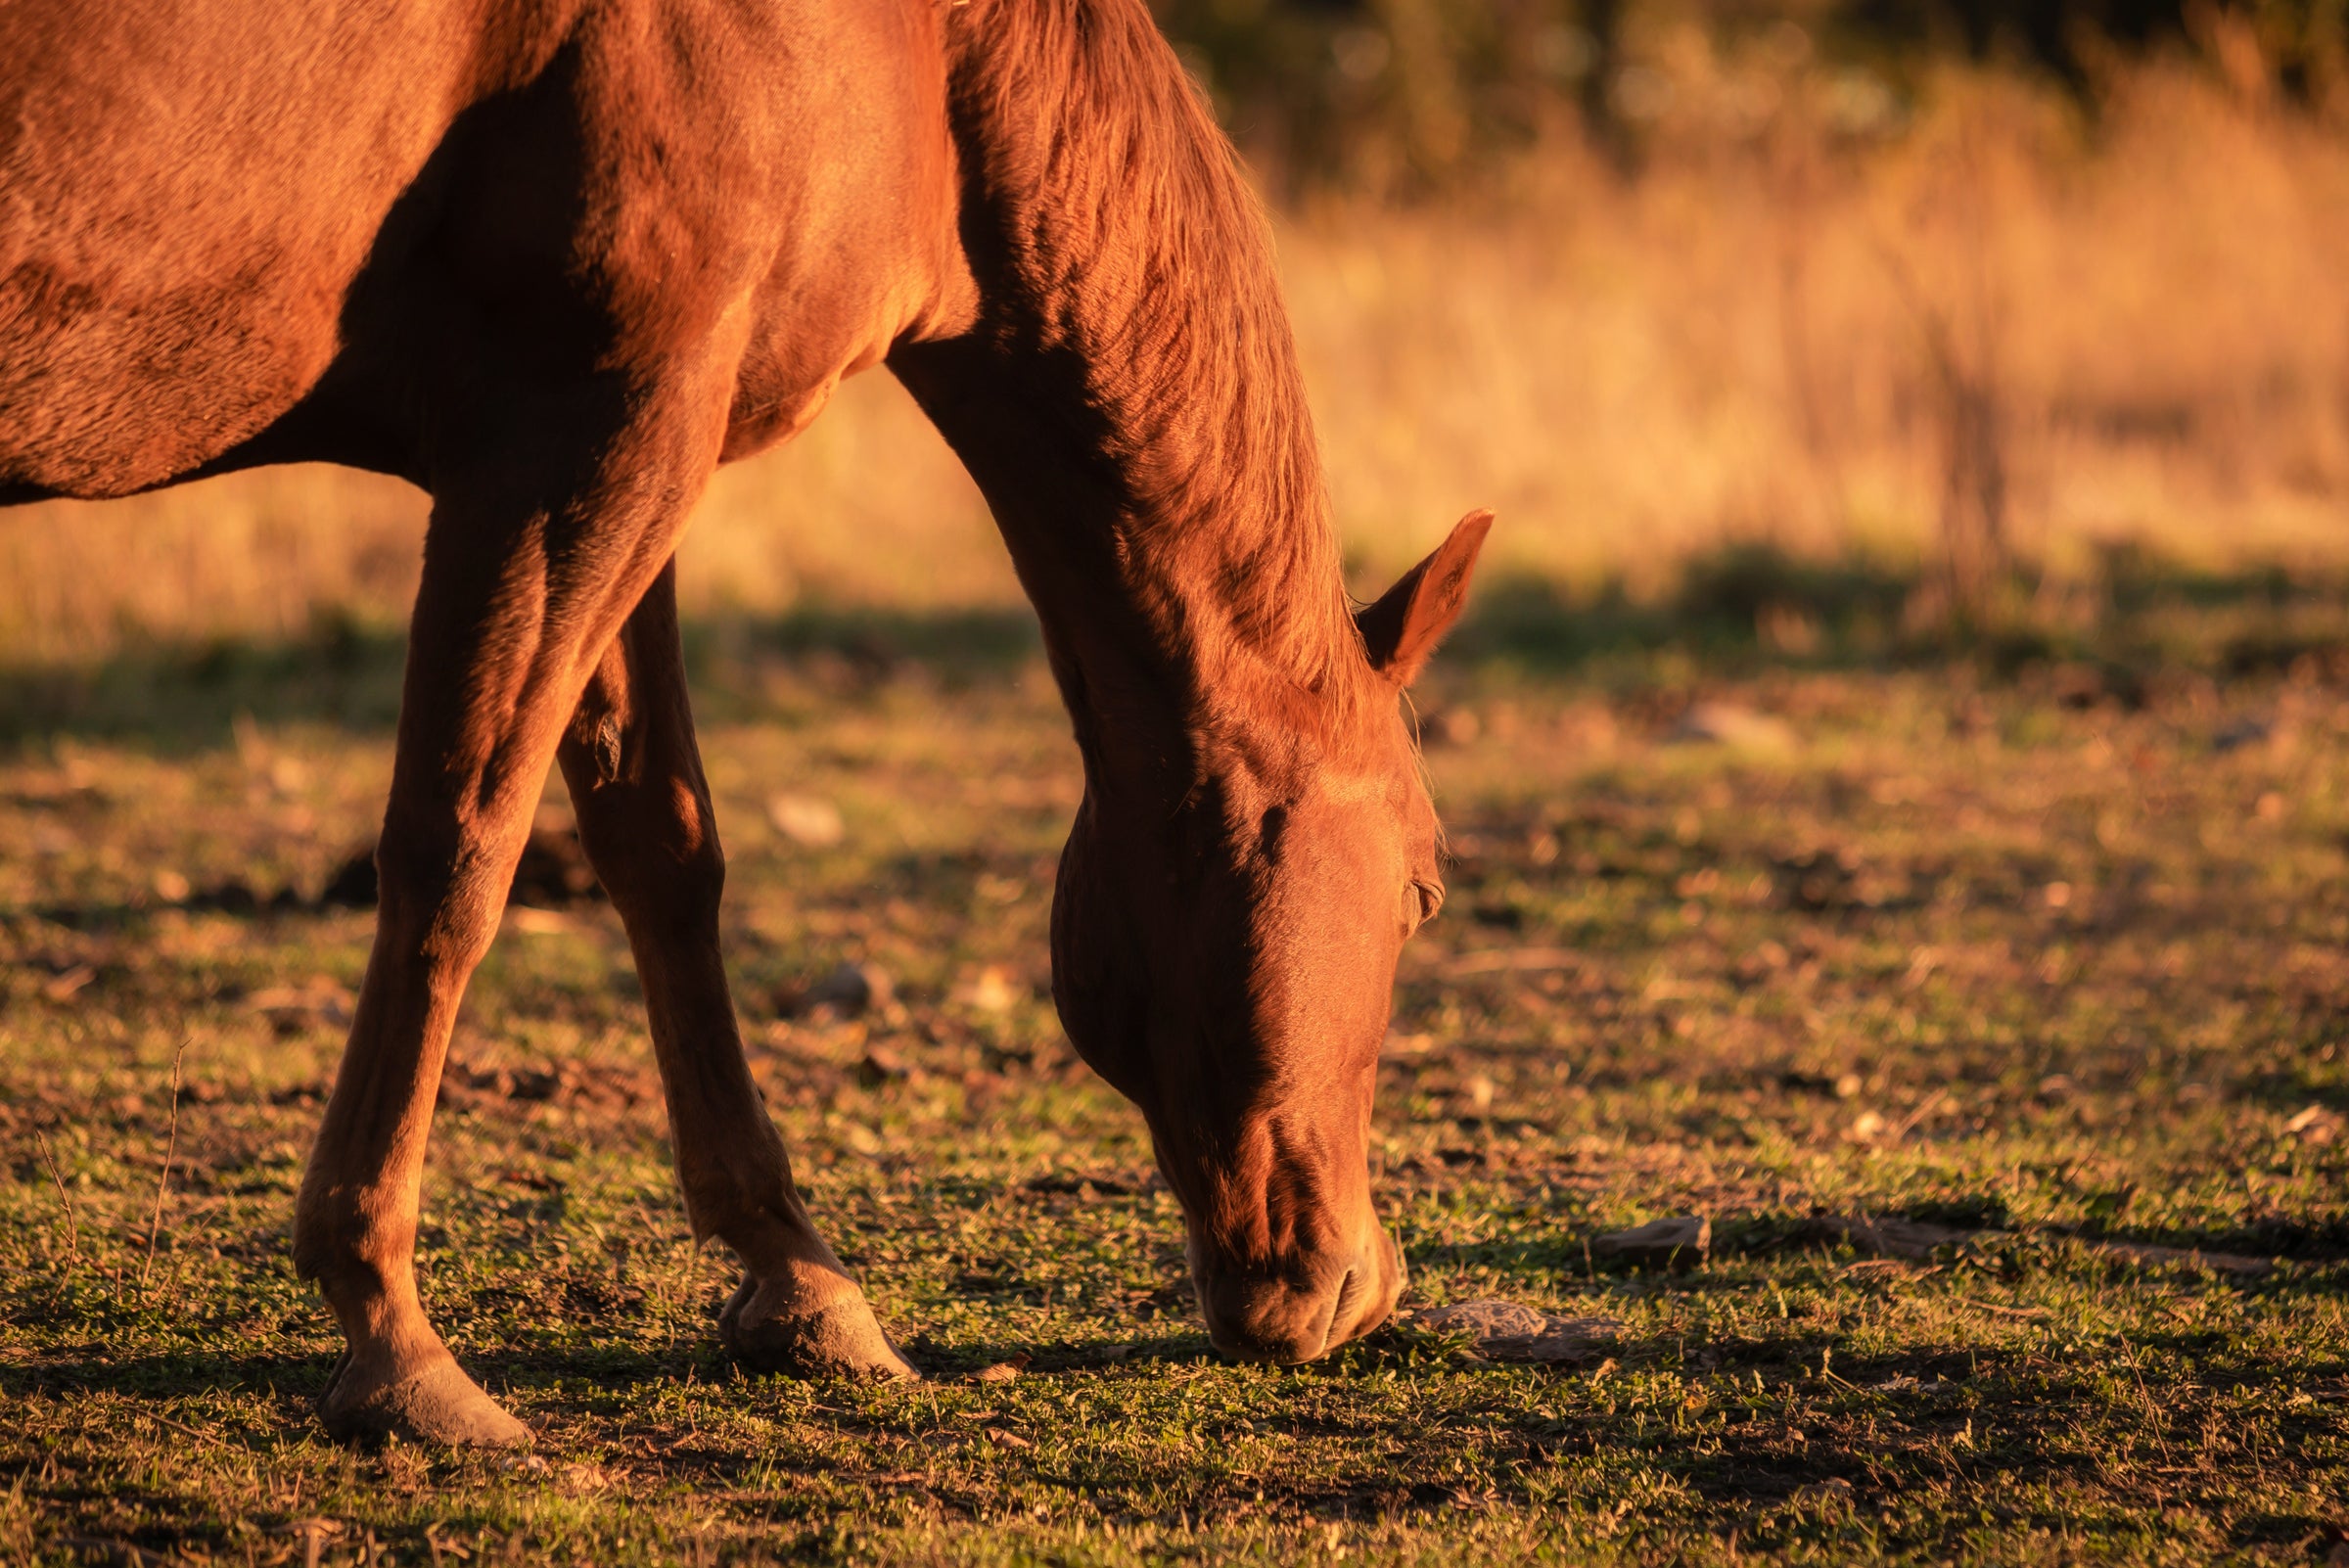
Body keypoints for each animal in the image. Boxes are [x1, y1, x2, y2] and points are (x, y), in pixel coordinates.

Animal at [4, 0, 1484, 1446]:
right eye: (1424, 888)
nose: (1355, 1285)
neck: (926, 56)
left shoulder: (635, 445)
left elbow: (660, 847)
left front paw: (800, 1282)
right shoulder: (589, 436)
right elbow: (459, 849)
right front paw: (390, 1331)